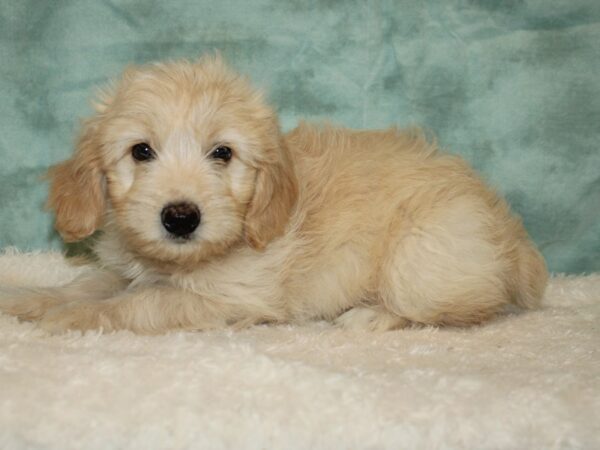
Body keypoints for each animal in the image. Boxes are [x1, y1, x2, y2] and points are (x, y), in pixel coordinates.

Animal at [0, 56, 548, 332]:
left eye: (222, 153)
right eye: (141, 151)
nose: (180, 218)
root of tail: (512, 235)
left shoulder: (232, 297)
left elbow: (141, 303)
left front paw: (77, 318)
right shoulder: (124, 268)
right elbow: (87, 283)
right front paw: (29, 300)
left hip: (421, 264)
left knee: (465, 310)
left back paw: (370, 315)